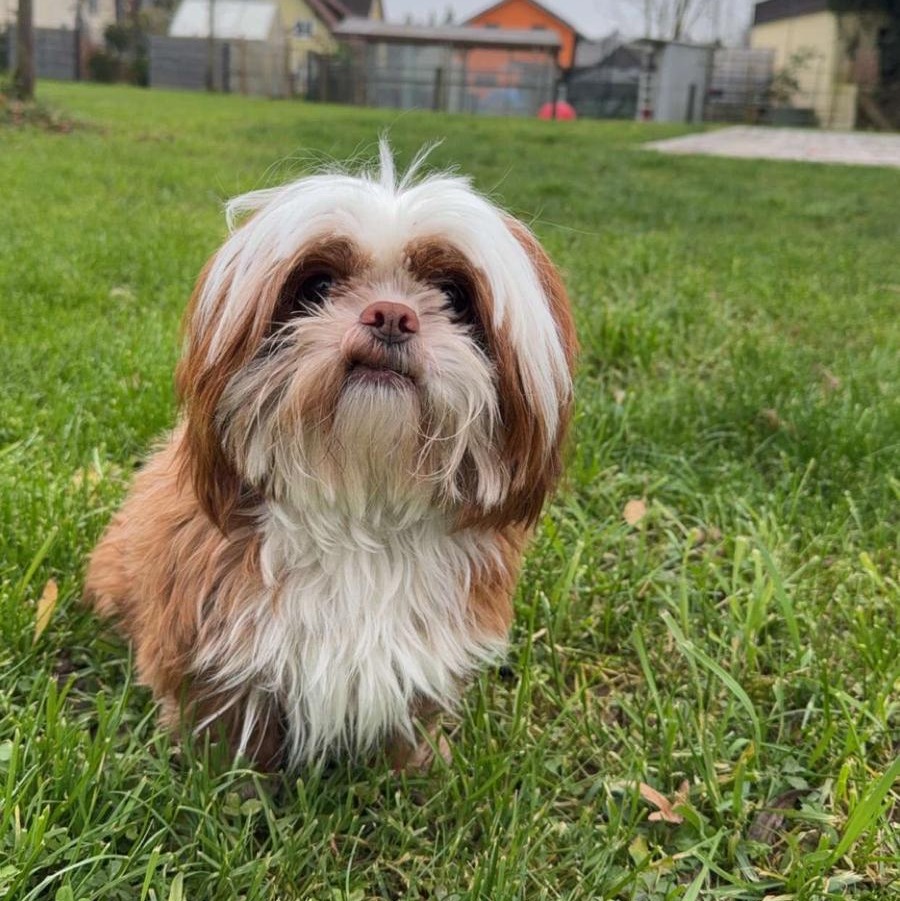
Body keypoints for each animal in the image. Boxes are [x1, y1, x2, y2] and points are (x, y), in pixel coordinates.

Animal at [84, 144, 576, 768]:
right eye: (316, 285)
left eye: (455, 296)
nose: (390, 314)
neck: (361, 506)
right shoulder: (209, 644)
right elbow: (229, 730)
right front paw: (229, 777)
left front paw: (417, 765)